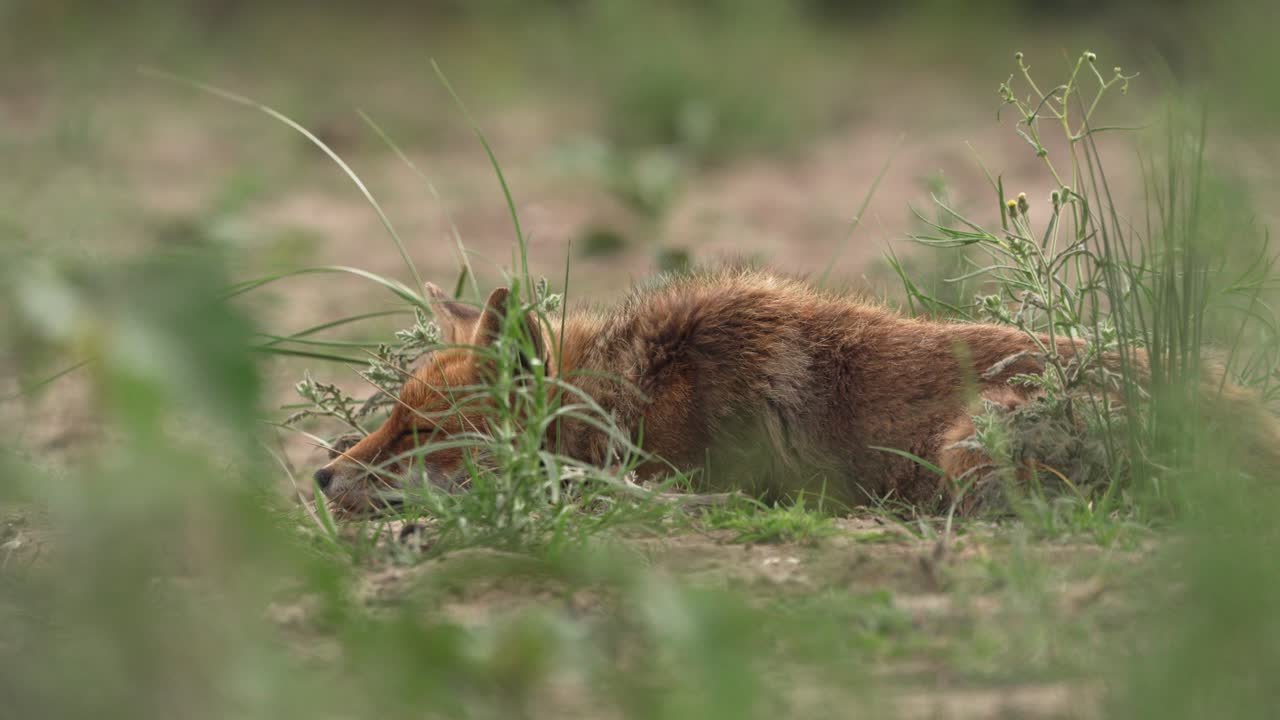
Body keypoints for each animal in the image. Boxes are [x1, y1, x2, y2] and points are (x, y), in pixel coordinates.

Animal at [313, 267, 1280, 515]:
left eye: (420, 433)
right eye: (389, 419)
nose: (318, 477)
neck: (630, 395)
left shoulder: (693, 479)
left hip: (969, 447)